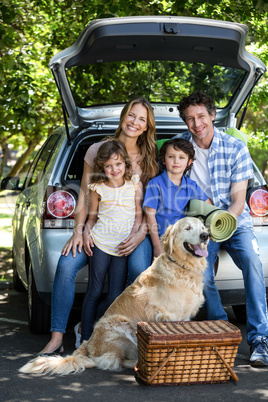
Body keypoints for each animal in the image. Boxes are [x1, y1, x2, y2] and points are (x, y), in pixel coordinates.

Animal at [20, 218, 209, 376]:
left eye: (202, 227)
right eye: (187, 228)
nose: (205, 236)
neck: (182, 267)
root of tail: (87, 345)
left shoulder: (185, 318)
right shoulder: (168, 316)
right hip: (121, 327)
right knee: (113, 361)